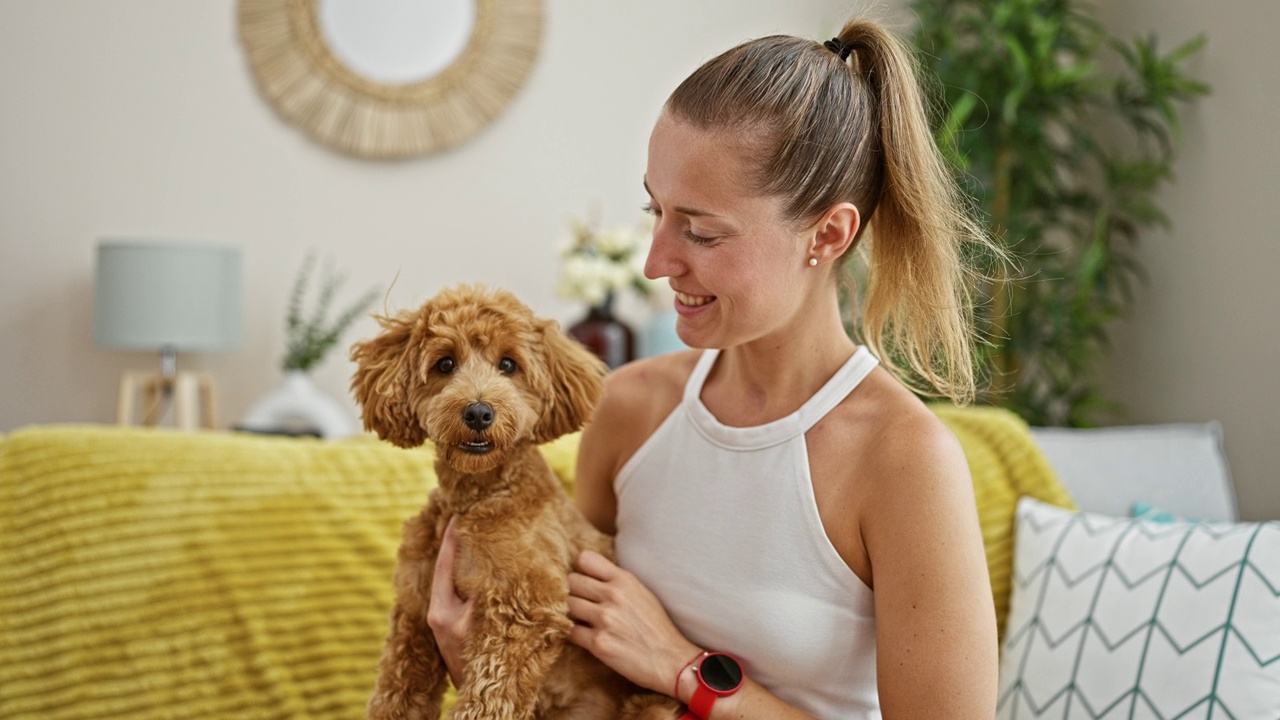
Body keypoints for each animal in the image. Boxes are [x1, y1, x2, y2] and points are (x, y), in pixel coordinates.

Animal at [345, 284, 675, 717]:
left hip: (651, 705)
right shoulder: (415, 613)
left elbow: (486, 699)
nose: (478, 412)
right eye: (445, 364)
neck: (479, 496)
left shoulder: (526, 609)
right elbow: (396, 692)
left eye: (508, 364)